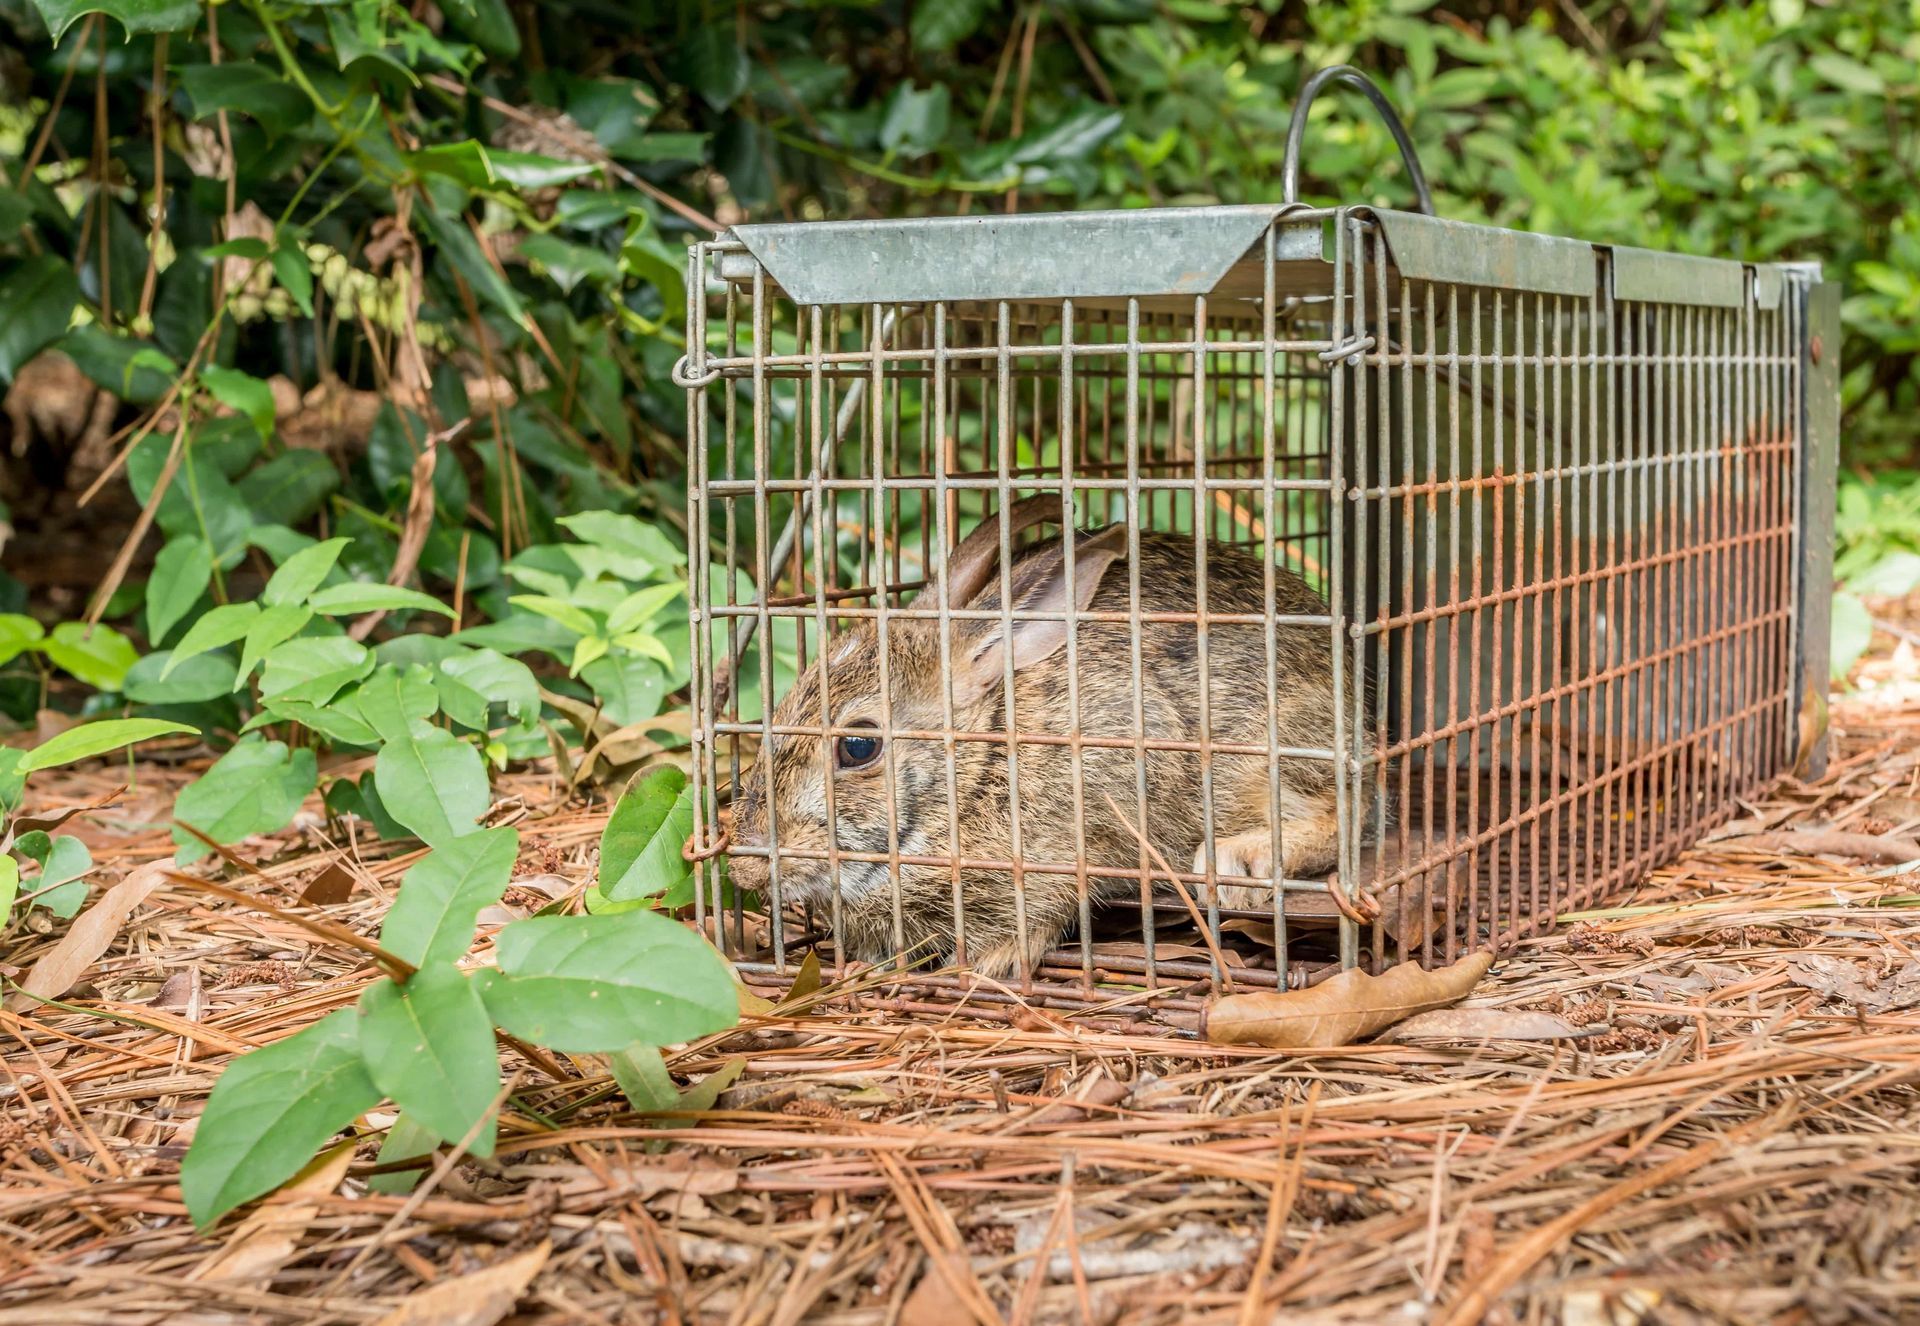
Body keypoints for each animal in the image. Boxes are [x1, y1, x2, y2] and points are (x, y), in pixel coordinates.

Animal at [726, 495, 1353, 978]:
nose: (746, 866)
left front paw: (995, 961)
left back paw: (1236, 864)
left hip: (1262, 757)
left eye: (858, 747)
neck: (977, 771)